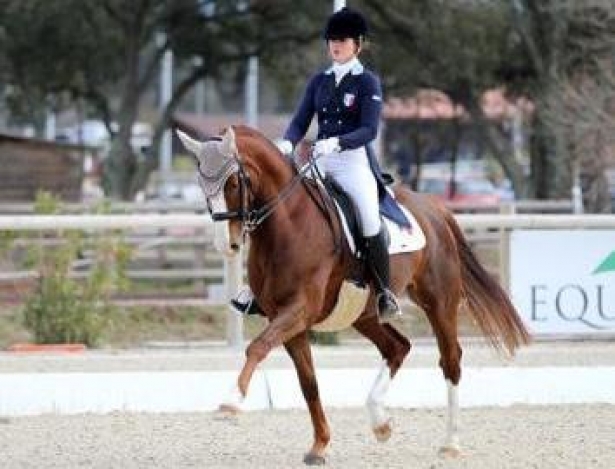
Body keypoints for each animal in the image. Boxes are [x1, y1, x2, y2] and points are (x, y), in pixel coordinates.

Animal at [176, 125, 532, 464]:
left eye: (234, 183)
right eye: (201, 183)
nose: (227, 245)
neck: (288, 226)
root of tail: (433, 207)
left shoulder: (299, 310)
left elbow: (257, 347)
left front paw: (231, 401)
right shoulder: (288, 321)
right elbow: (309, 383)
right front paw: (319, 446)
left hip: (439, 302)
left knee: (450, 360)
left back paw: (450, 444)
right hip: (365, 314)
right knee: (398, 347)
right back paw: (381, 423)